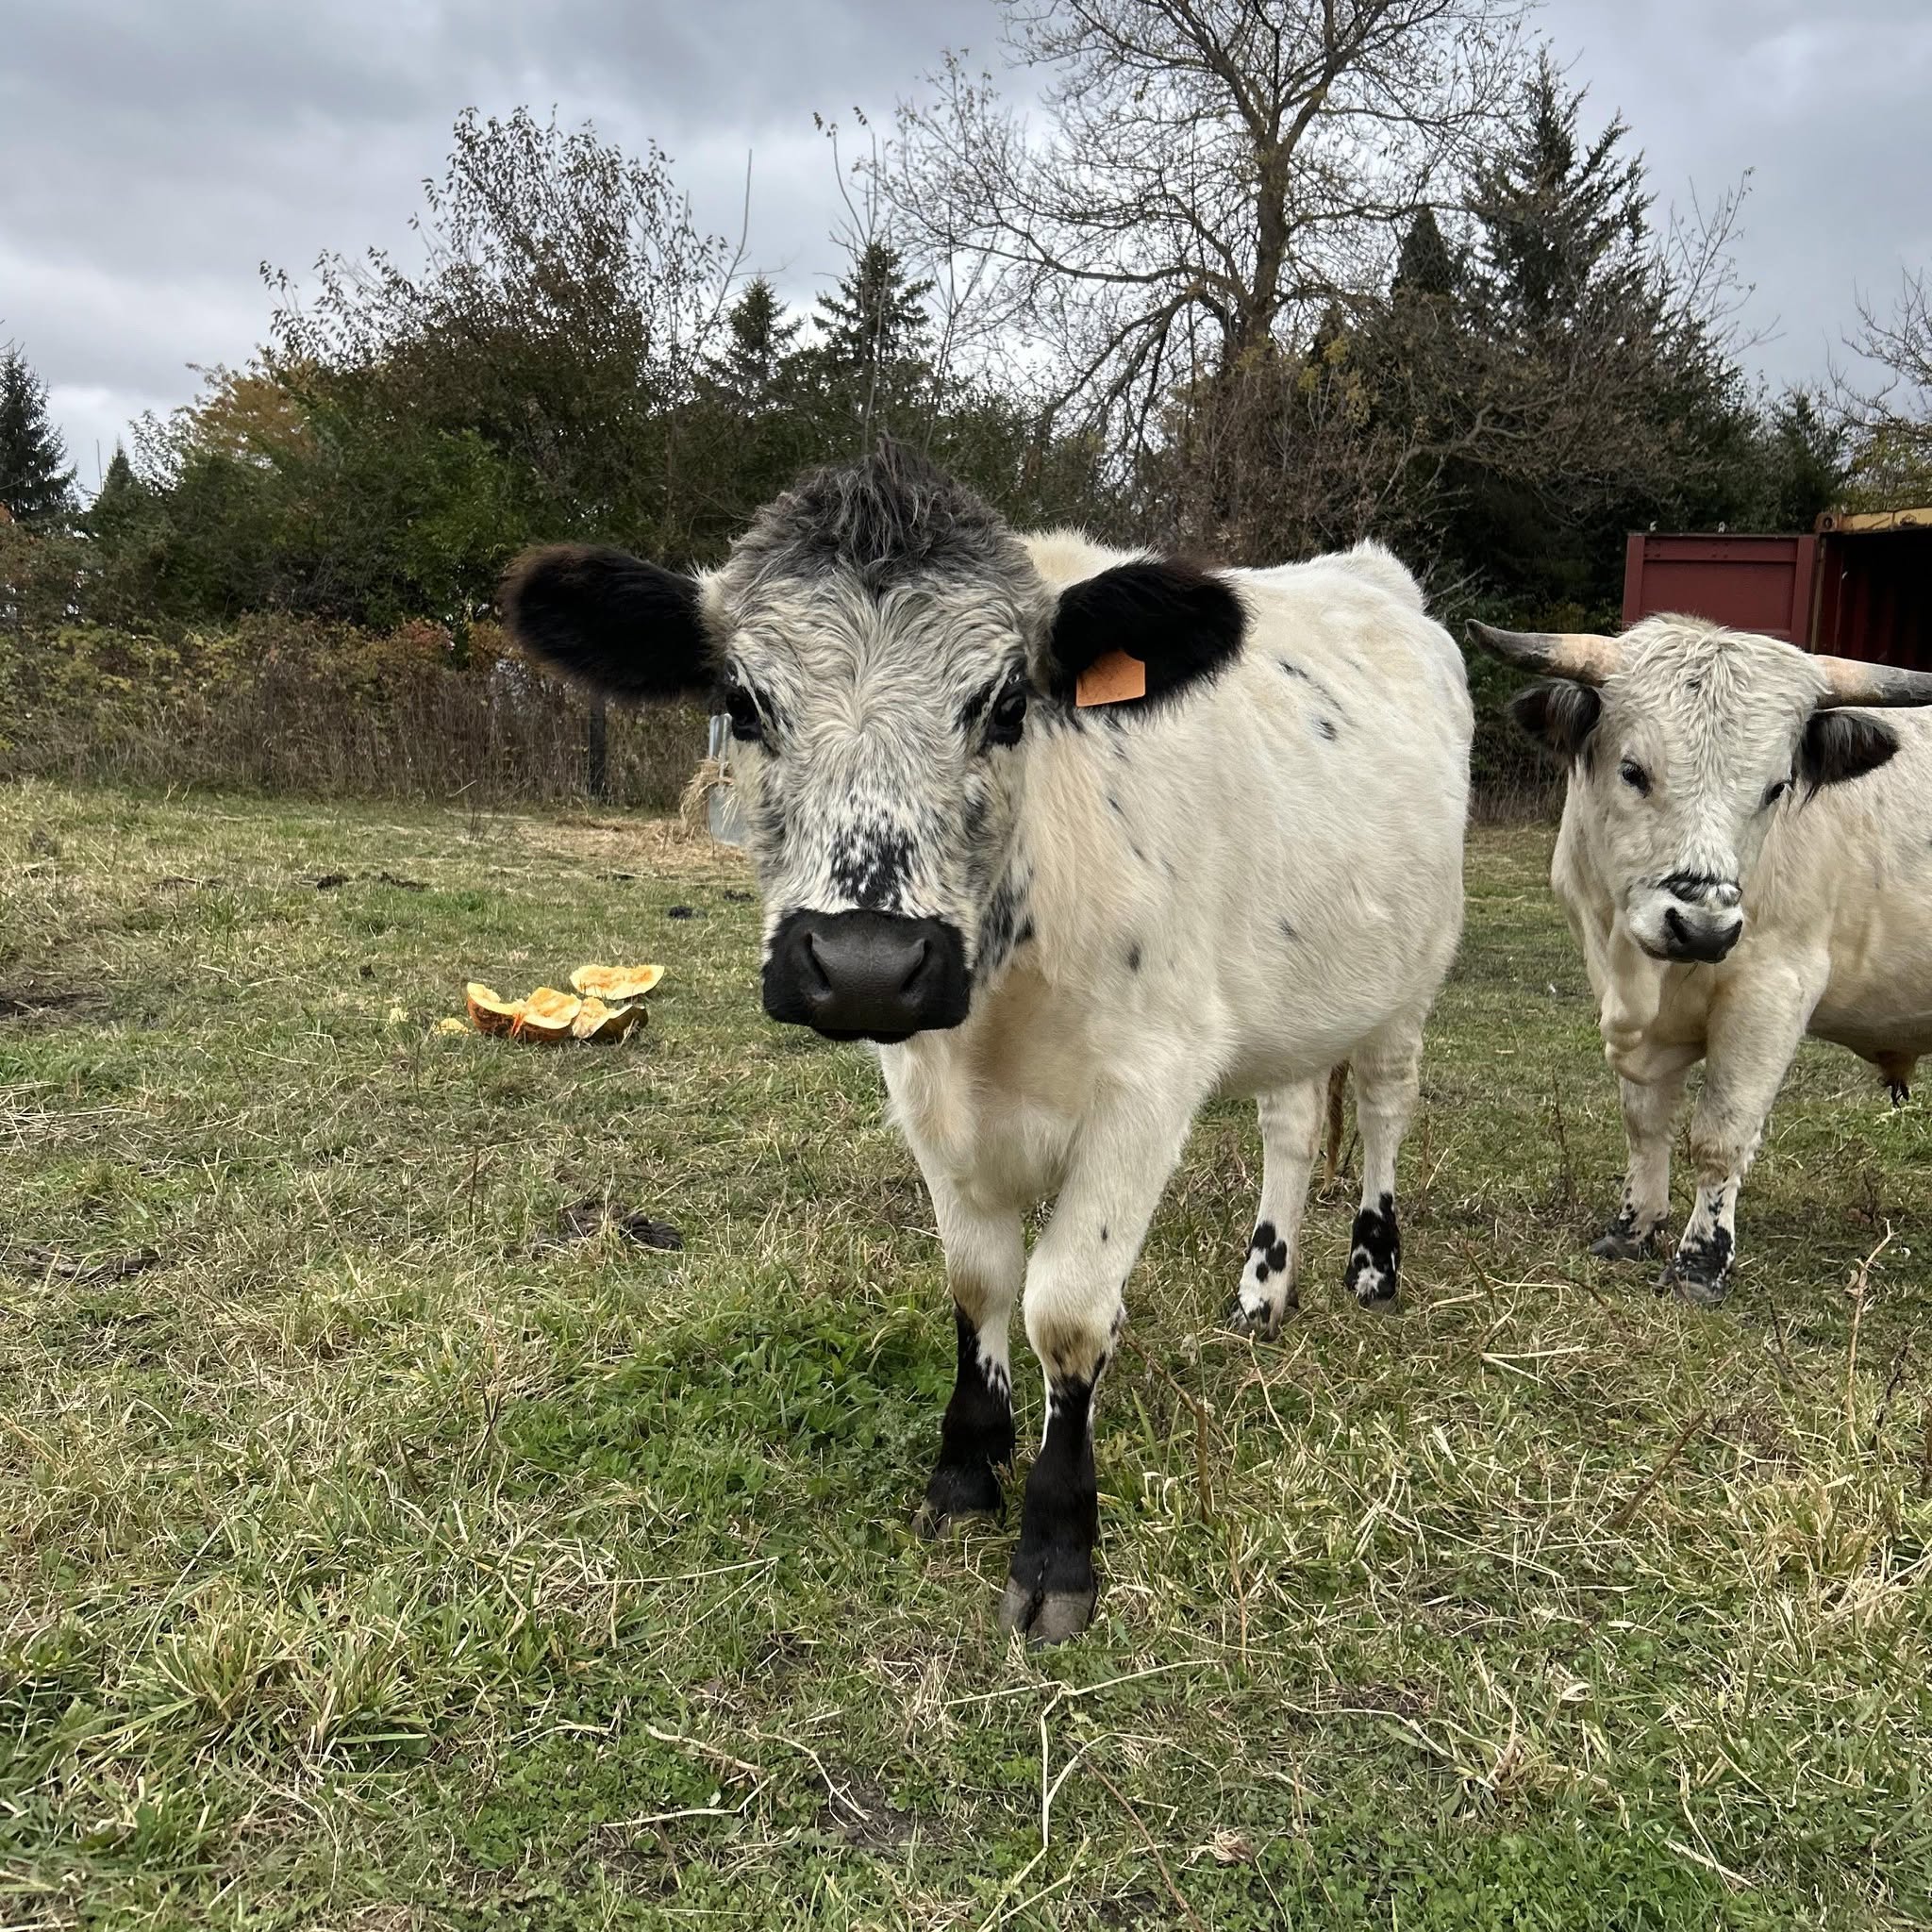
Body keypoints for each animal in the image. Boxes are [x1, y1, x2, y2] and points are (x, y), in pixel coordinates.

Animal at [505, 443, 1472, 1642]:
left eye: (1007, 703)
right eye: (743, 699)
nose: (865, 959)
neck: (1003, 995)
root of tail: (1366, 570)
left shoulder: (1147, 1086)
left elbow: (1064, 1307)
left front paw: (1057, 1538)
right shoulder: (924, 1085)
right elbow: (976, 1280)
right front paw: (967, 1462)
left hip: (1406, 977)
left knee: (1382, 1102)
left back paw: (1370, 1263)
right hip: (1286, 1000)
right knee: (1290, 1120)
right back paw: (1262, 1288)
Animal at [1471, 615, 1932, 1305]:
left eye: (1776, 788)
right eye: (1633, 770)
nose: (1703, 928)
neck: (1642, 976)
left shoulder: (1773, 993)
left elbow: (1721, 1137)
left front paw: (1700, 1263)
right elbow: (1643, 1120)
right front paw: (1632, 1229)